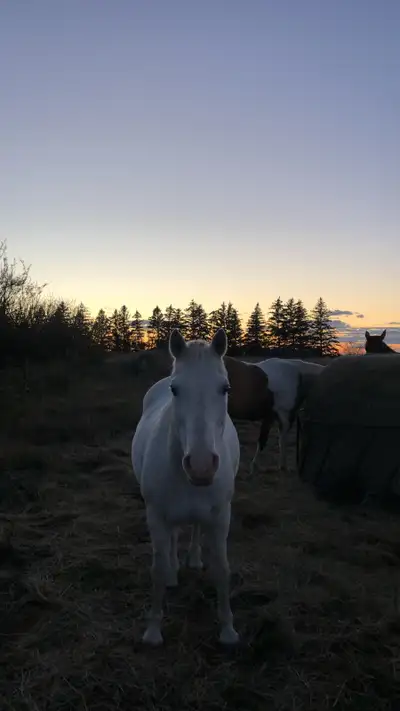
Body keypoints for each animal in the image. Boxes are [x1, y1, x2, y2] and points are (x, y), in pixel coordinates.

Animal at [131, 328, 241, 646]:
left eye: (225, 389)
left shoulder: (220, 517)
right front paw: (153, 631)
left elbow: (222, 570)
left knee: (192, 527)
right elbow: (156, 570)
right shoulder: (156, 516)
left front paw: (228, 630)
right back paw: (173, 571)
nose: (201, 466)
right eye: (175, 390)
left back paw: (192, 559)